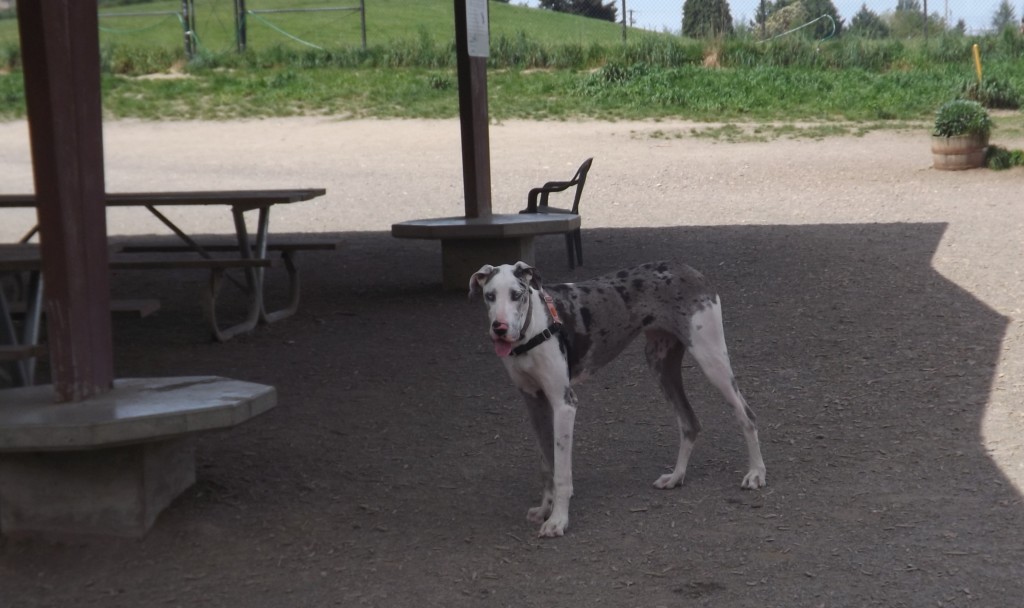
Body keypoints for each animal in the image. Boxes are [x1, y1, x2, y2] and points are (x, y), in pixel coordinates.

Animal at [468, 258, 765, 536]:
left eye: (517, 294)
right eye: (490, 296)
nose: (500, 328)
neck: (532, 328)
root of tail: (688, 269)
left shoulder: (564, 404)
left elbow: (562, 473)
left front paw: (558, 520)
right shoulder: (535, 404)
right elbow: (547, 467)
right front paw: (545, 510)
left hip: (712, 361)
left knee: (747, 415)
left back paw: (756, 473)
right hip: (660, 366)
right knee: (690, 423)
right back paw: (676, 477)